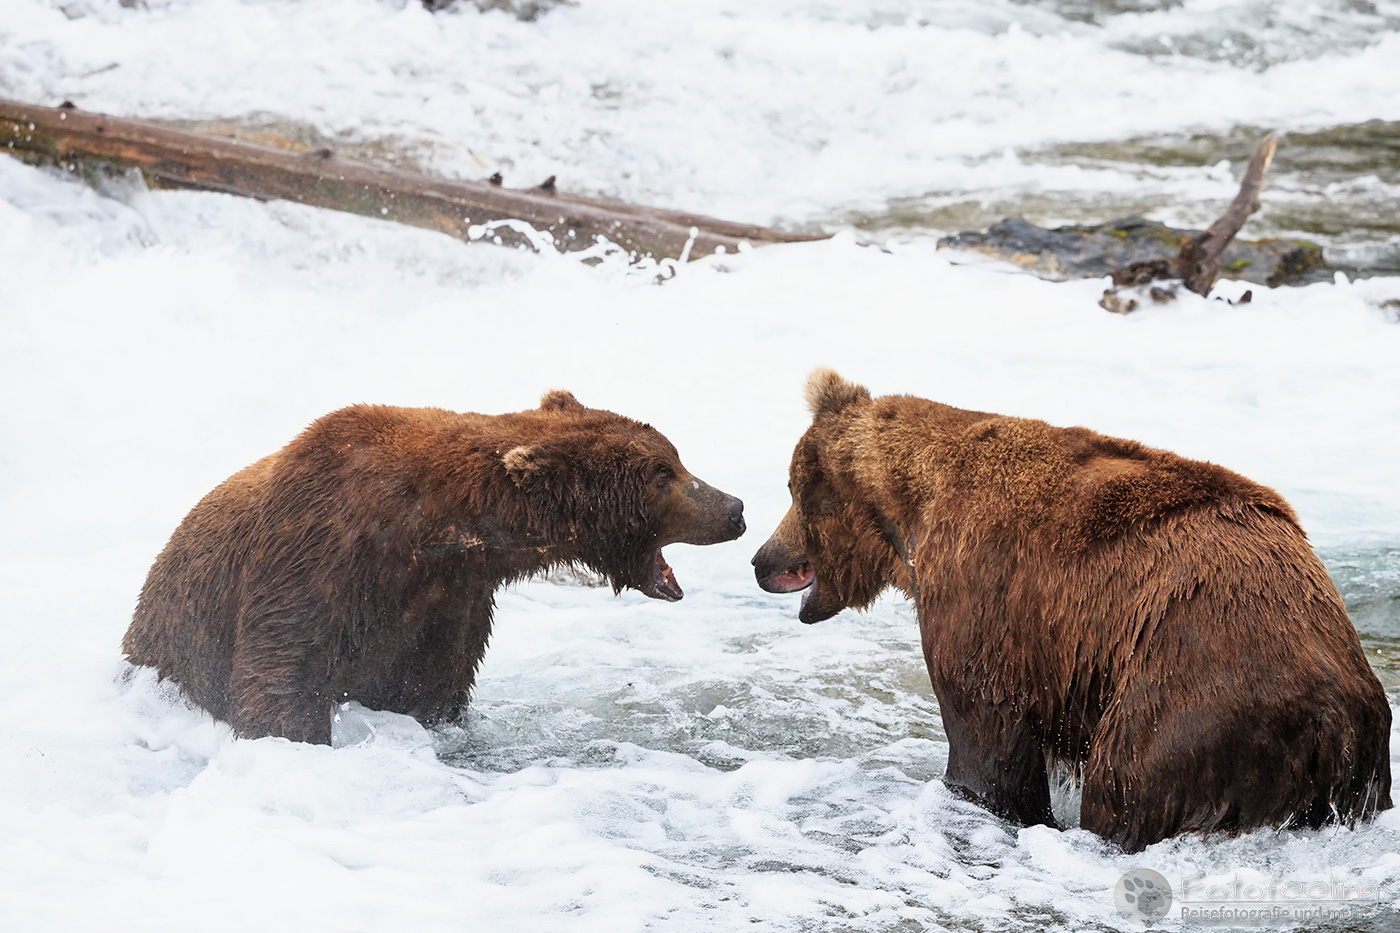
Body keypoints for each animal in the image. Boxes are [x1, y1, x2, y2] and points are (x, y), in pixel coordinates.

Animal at [124, 390, 745, 744]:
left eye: (674, 459)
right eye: (663, 474)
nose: (734, 507)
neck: (434, 527)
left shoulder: (451, 598)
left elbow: (428, 687)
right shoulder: (319, 551)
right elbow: (281, 669)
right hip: (171, 634)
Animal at [752, 369, 1391, 852]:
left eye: (792, 490)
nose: (762, 560)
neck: (909, 512)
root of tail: (1332, 713)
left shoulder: (984, 595)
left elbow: (986, 739)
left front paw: (979, 798)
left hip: (1196, 692)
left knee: (1127, 787)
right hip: (1357, 762)